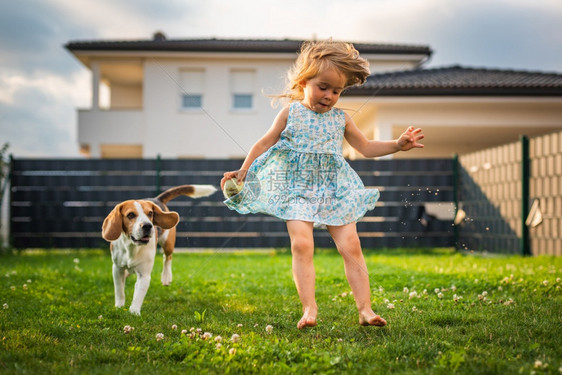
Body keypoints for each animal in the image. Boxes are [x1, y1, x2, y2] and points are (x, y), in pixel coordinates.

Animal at [100, 184, 214, 314]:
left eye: (150, 213)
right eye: (130, 215)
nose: (148, 226)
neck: (132, 247)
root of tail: (156, 199)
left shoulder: (144, 275)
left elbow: (138, 294)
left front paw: (134, 312)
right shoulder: (117, 268)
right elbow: (119, 290)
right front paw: (119, 306)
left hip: (167, 242)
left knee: (167, 257)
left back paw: (166, 276)